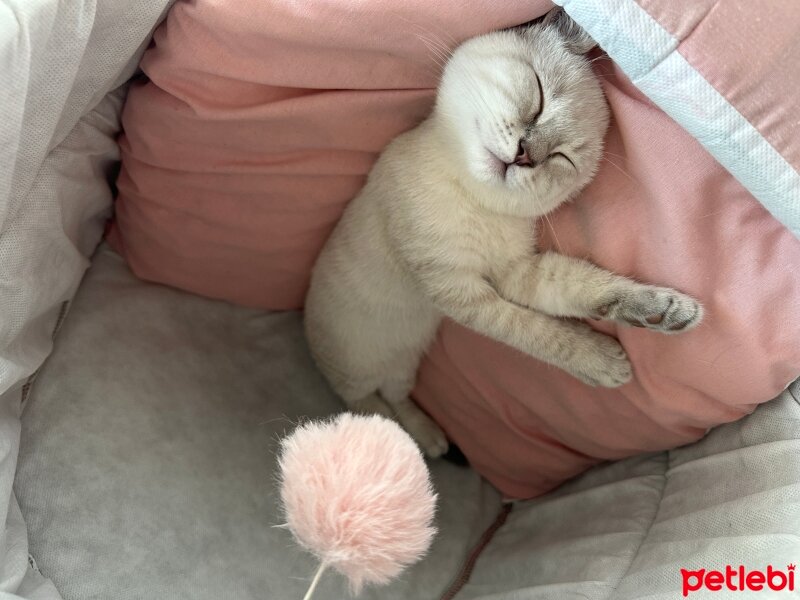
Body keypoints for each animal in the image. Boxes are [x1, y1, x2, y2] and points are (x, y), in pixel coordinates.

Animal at [304, 9, 704, 458]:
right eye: (539, 95)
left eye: (561, 158)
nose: (526, 155)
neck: (469, 194)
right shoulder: (458, 291)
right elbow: (537, 335)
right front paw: (602, 362)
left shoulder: (512, 273)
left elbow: (585, 289)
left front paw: (663, 312)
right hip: (354, 374)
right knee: (365, 406)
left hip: (403, 368)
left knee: (396, 400)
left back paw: (428, 438)